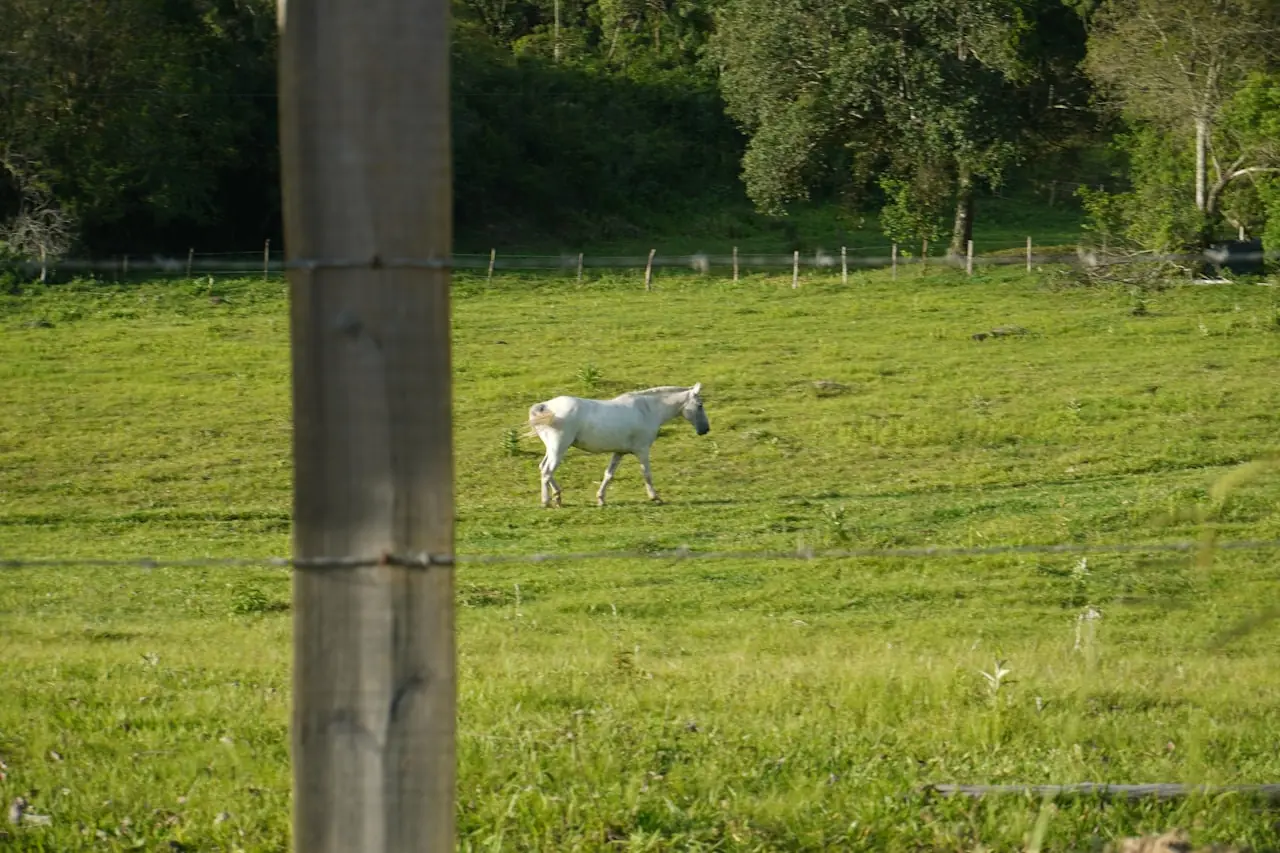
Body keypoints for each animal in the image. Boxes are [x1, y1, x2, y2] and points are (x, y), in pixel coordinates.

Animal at [526, 384, 710, 507]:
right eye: (700, 405)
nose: (705, 430)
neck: (647, 410)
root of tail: (546, 406)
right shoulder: (642, 450)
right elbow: (647, 474)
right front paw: (655, 497)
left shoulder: (619, 452)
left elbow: (609, 475)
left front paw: (601, 499)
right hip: (559, 448)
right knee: (547, 471)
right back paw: (547, 501)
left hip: (552, 449)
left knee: (543, 468)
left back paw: (557, 497)